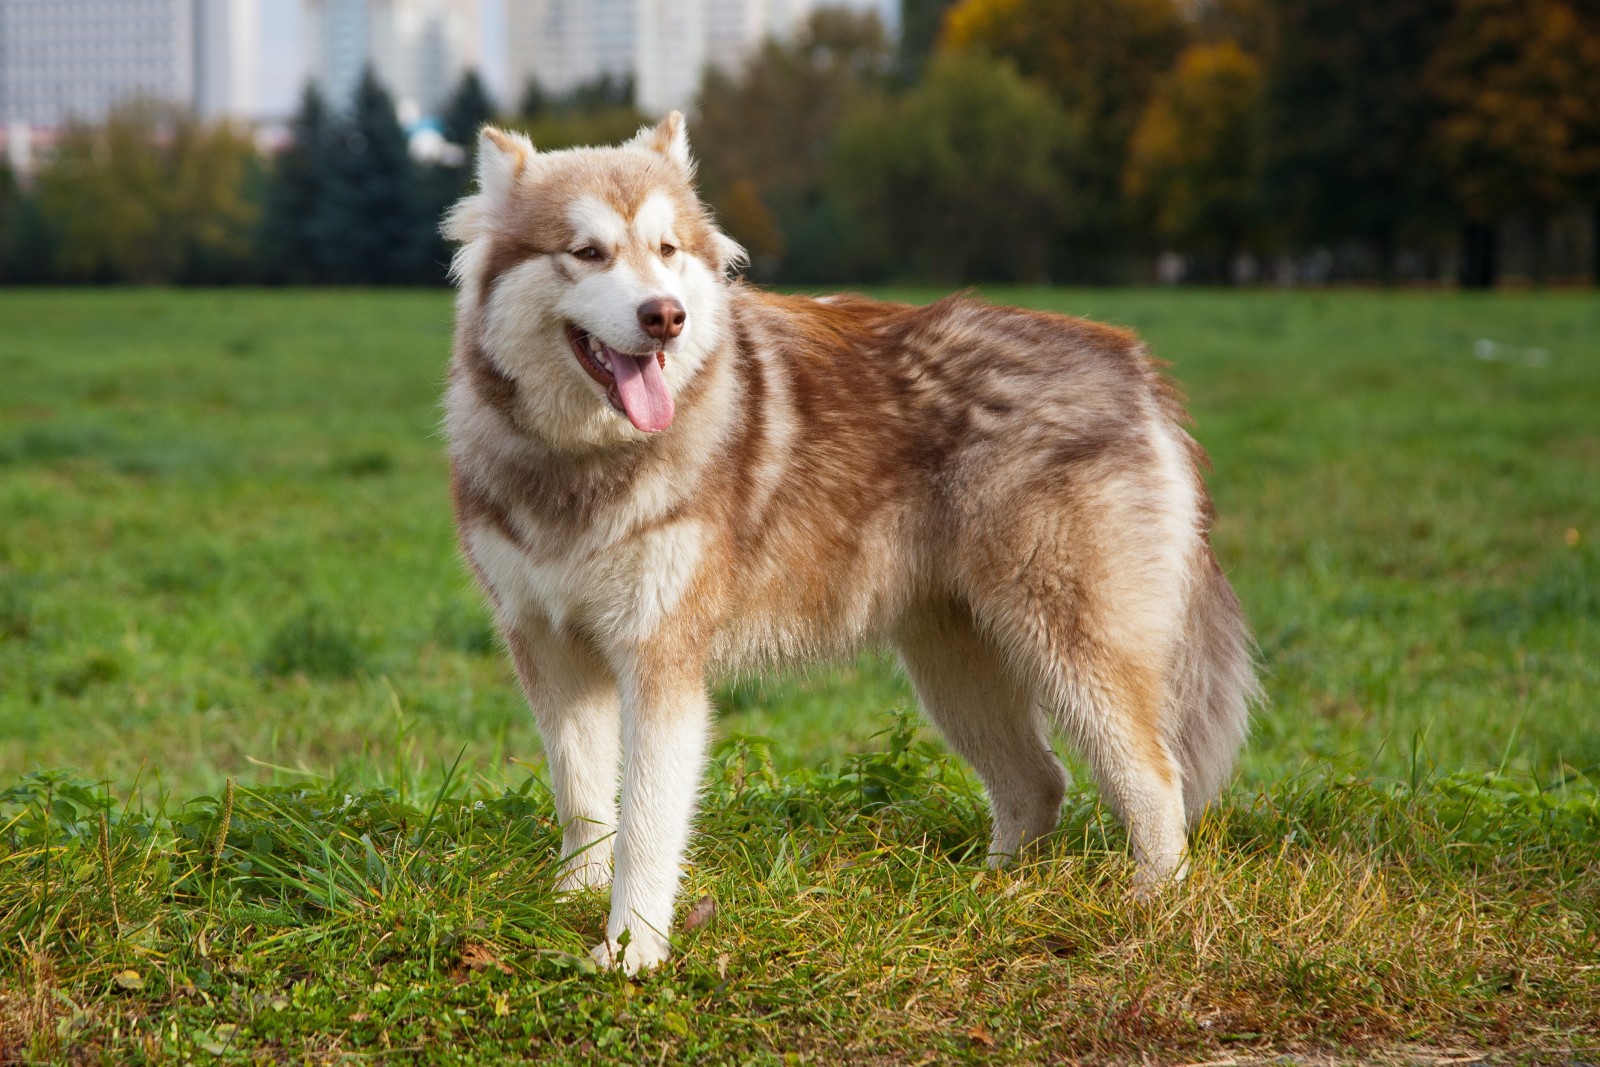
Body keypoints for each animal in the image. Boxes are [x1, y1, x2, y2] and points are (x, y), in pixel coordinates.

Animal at [441, 116, 1260, 979]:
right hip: (955, 669)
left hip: (1074, 650)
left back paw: (1152, 908)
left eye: (666, 250)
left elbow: (647, 824)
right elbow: (583, 794)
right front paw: (574, 894)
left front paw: (631, 948)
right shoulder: (548, 645)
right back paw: (986, 897)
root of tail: (1134, 365)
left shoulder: (662, 660)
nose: (665, 316)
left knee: (1156, 781)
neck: (584, 462)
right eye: (587, 251)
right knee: (1039, 782)